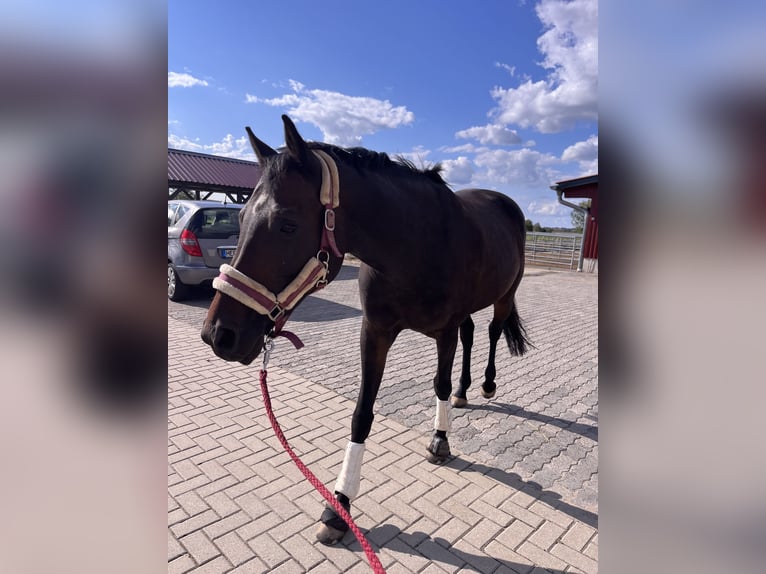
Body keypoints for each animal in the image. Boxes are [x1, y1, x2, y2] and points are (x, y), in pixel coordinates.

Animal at [201, 115, 530, 545]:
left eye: (287, 225)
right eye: (240, 219)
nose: (219, 334)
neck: (418, 245)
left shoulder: (443, 332)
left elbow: (438, 383)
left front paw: (440, 441)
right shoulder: (374, 332)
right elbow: (362, 414)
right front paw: (339, 505)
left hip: (505, 296)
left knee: (491, 331)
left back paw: (486, 385)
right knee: (473, 333)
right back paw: (464, 391)